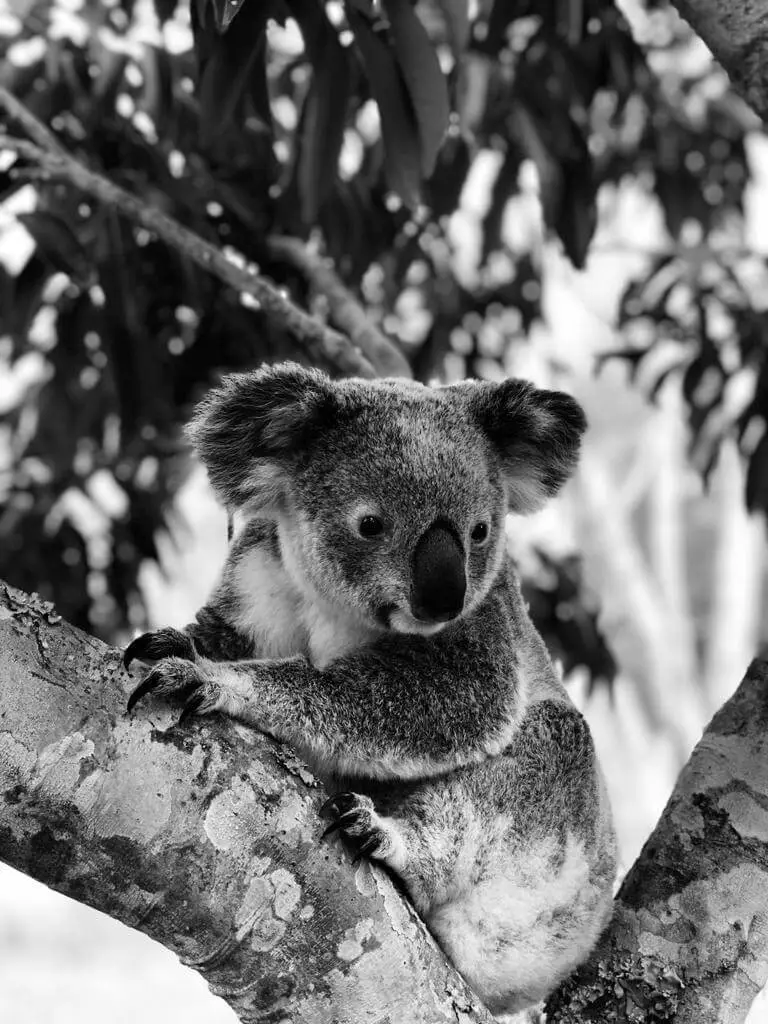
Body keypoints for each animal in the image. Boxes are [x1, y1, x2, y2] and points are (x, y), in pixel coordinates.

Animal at [124, 362, 616, 1016]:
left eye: (481, 532)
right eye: (370, 524)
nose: (445, 598)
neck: (334, 605)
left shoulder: (488, 629)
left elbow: (452, 701)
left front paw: (212, 680)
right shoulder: (261, 567)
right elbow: (222, 633)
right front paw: (171, 644)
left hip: (554, 878)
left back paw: (386, 837)